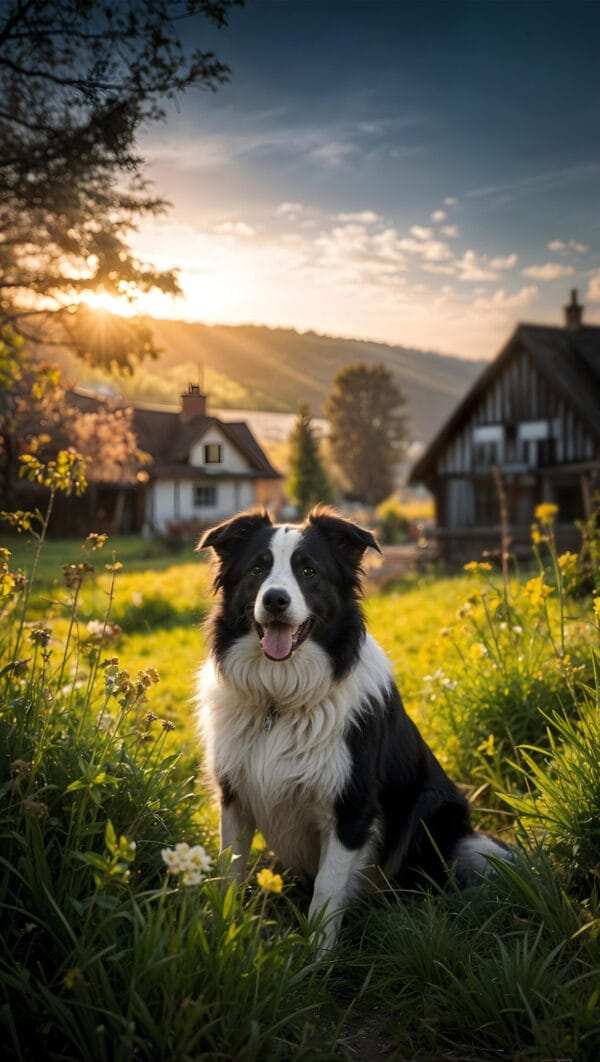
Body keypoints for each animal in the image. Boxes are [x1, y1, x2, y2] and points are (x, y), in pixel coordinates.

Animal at [196, 503, 505, 947]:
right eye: (257, 568)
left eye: (309, 571)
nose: (275, 599)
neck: (279, 699)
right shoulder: (234, 797)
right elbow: (230, 874)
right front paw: (223, 935)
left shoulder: (352, 809)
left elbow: (325, 894)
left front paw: (317, 959)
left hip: (432, 806)